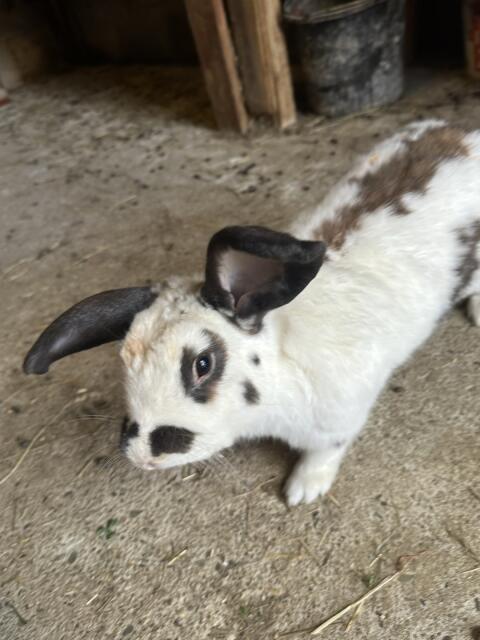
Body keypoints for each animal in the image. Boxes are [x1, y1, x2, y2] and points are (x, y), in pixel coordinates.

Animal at [23, 119, 480, 506]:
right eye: (124, 356)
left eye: (202, 363)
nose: (142, 456)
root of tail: (465, 135)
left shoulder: (338, 422)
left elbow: (323, 454)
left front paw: (302, 492)